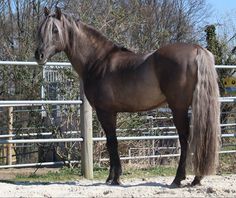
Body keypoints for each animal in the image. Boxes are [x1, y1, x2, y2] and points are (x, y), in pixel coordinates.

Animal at [35, 7, 221, 187]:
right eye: (40, 29)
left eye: (54, 30)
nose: (39, 55)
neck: (97, 61)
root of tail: (197, 49)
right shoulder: (111, 113)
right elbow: (110, 142)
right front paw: (111, 177)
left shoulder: (105, 112)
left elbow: (112, 142)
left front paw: (115, 178)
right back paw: (196, 179)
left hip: (178, 108)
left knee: (185, 139)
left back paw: (178, 179)